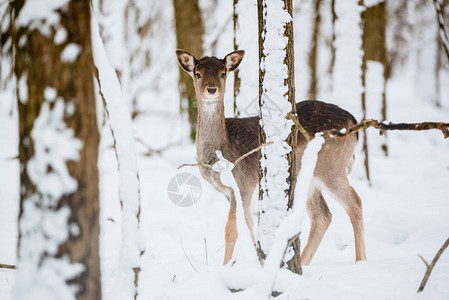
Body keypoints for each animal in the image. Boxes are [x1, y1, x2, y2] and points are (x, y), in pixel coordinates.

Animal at [173, 49, 366, 268]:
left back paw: (360, 261)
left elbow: (231, 230)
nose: (211, 89)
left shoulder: (244, 183)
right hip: (308, 176)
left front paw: (226, 267)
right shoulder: (230, 192)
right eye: (198, 74)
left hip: (332, 166)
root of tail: (353, 122)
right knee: (323, 215)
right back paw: (303, 263)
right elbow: (248, 226)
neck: (221, 152)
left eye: (223, 73)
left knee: (355, 203)